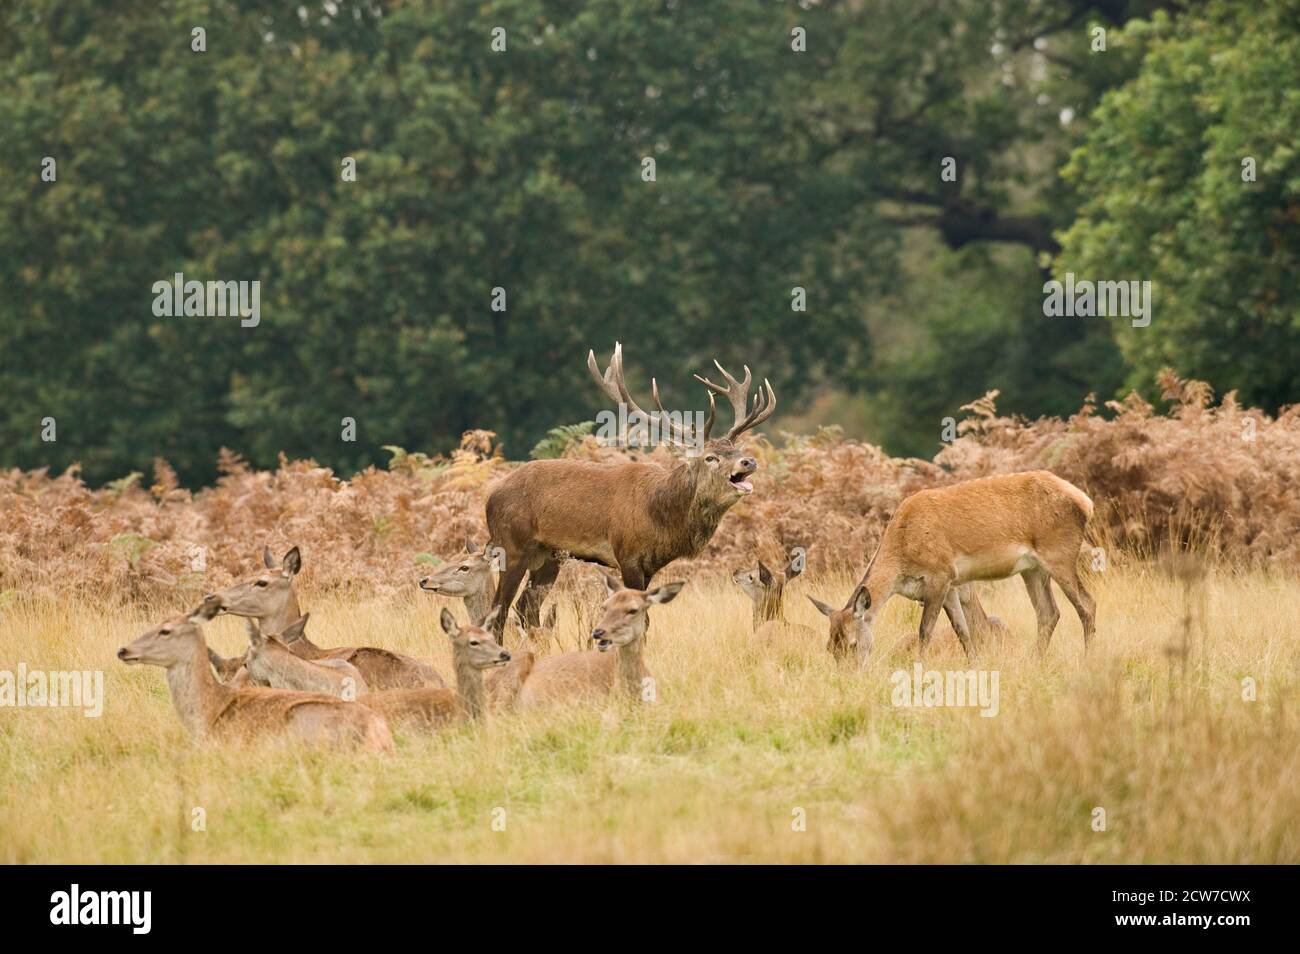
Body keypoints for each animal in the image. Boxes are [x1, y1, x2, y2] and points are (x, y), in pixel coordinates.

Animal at [483, 342, 774, 638]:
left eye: (735, 449)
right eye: (710, 457)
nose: (748, 461)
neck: (661, 518)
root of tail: (490, 497)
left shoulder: (650, 566)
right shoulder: (628, 554)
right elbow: (640, 619)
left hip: (549, 555)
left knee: (526, 607)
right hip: (512, 545)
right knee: (498, 609)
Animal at [809, 471, 1096, 664]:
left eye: (853, 643)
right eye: (829, 646)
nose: (848, 677)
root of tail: (1086, 502)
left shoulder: (940, 575)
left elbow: (925, 630)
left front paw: (919, 666)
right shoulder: (950, 586)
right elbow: (962, 631)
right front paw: (974, 664)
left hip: (1060, 553)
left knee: (1087, 604)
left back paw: (1087, 659)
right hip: (1033, 569)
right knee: (1049, 612)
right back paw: (1034, 662)